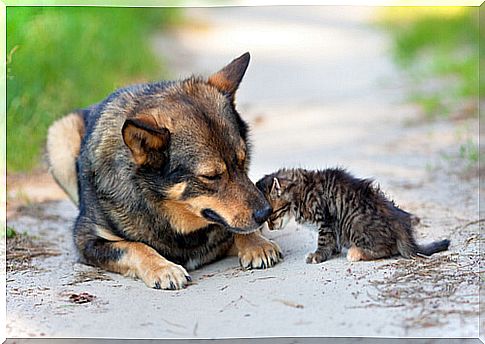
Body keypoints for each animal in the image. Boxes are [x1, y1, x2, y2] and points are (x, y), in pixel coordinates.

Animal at [47, 53, 282, 290]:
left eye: (243, 162)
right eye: (211, 176)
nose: (266, 213)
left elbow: (238, 229)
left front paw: (256, 244)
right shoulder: (87, 240)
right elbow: (134, 246)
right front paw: (163, 268)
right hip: (60, 136)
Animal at [255, 169, 448, 264]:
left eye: (271, 215)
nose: (270, 228)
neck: (301, 191)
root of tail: (401, 224)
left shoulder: (326, 219)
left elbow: (323, 240)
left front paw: (318, 256)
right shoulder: (331, 225)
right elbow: (332, 240)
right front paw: (332, 251)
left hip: (354, 223)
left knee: (387, 249)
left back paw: (356, 252)